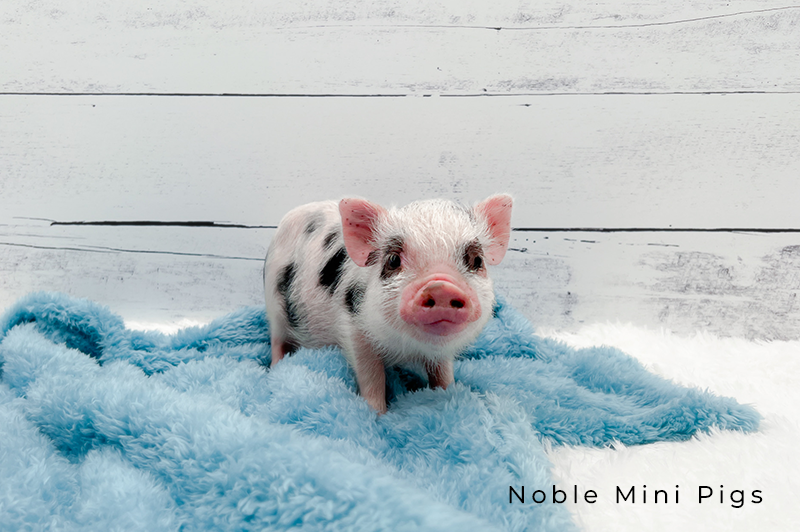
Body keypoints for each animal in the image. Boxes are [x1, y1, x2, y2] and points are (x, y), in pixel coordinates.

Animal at [264, 194, 513, 414]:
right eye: (393, 260)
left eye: (477, 260)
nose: (441, 287)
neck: (407, 347)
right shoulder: (355, 331)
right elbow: (372, 377)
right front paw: (377, 416)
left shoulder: (441, 352)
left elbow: (442, 371)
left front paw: (448, 392)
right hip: (273, 303)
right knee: (277, 340)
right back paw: (276, 368)